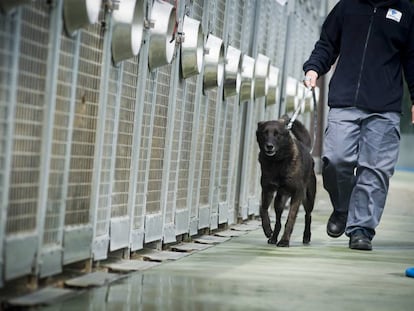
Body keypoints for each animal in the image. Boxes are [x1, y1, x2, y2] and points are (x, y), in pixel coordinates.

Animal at [256, 117, 316, 249]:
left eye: (277, 134)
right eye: (265, 133)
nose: (269, 146)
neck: (277, 162)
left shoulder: (297, 194)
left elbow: (291, 218)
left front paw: (284, 241)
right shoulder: (267, 189)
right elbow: (263, 209)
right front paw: (267, 229)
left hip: (308, 199)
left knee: (308, 215)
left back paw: (306, 236)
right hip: (280, 200)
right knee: (278, 220)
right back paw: (273, 238)